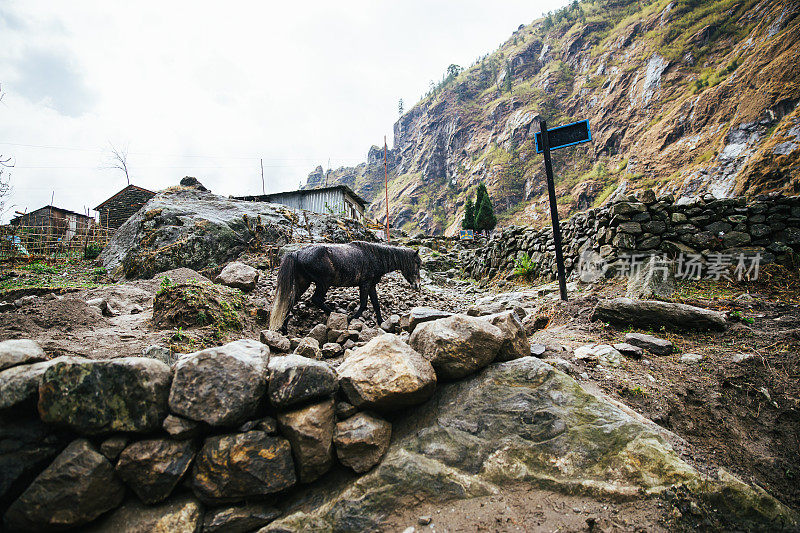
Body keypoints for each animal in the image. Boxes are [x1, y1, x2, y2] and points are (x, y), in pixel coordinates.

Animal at [268, 241, 422, 332]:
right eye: (417, 263)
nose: (418, 286)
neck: (375, 256)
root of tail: (297, 253)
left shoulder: (371, 285)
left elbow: (376, 304)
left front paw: (381, 322)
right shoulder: (365, 284)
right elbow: (364, 304)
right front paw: (351, 319)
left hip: (303, 283)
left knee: (290, 301)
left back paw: (284, 328)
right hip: (323, 283)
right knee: (316, 299)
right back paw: (339, 316)